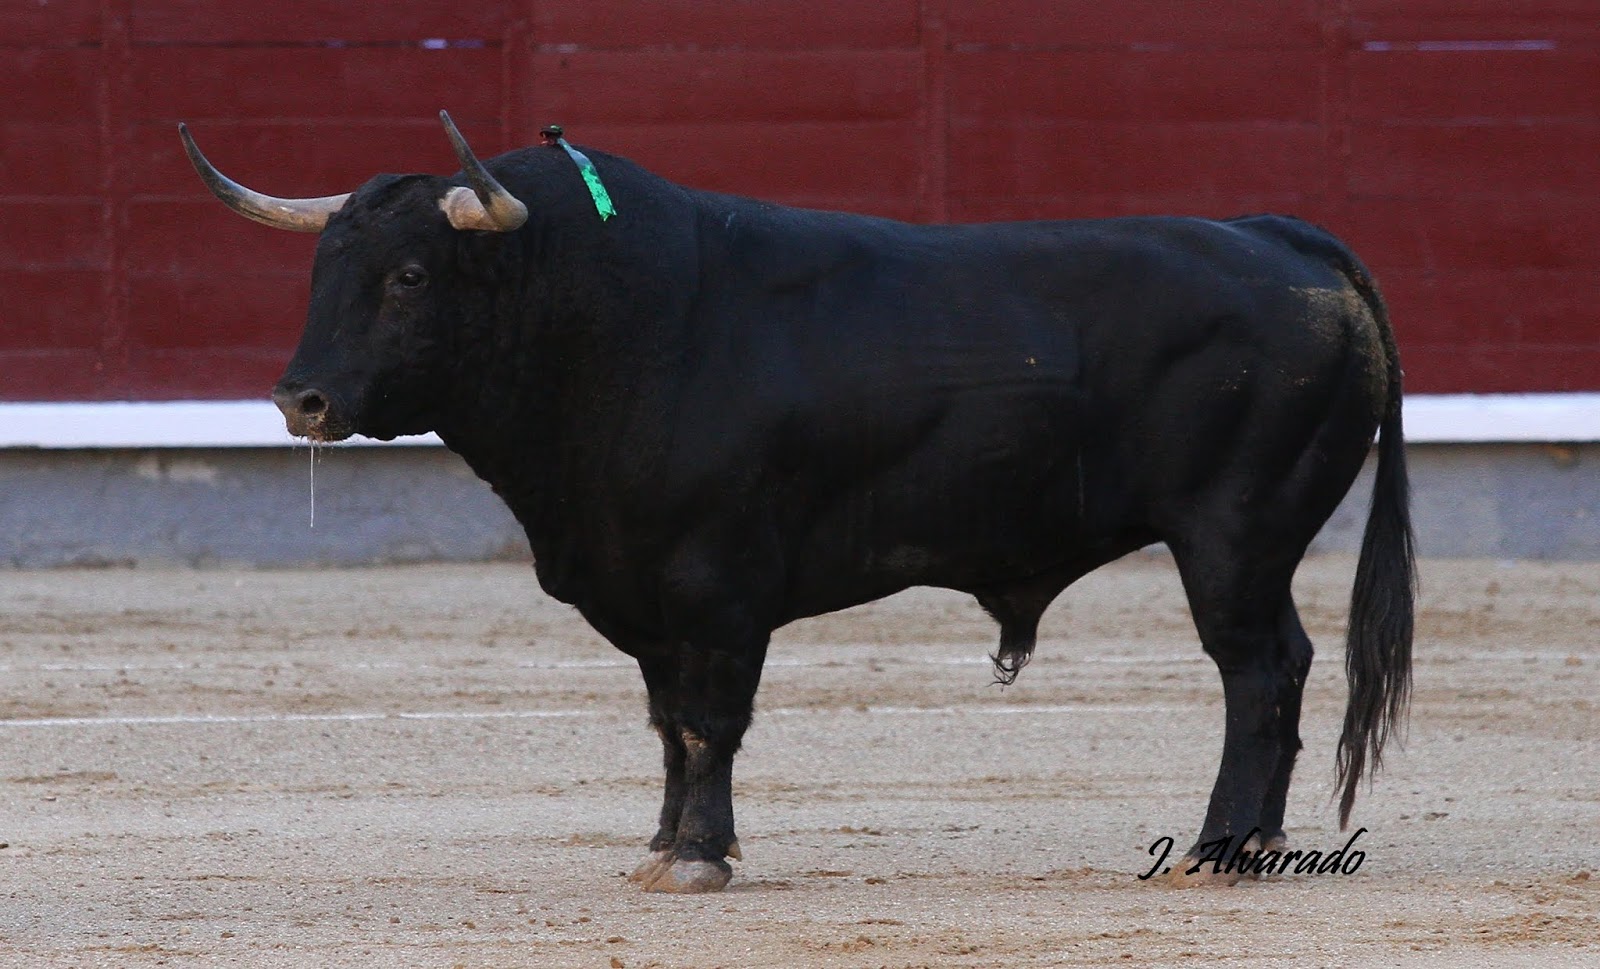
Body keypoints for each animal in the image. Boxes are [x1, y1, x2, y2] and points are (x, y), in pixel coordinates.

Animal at [180, 112, 1414, 893]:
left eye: (409, 277)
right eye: (321, 273)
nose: (301, 399)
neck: (610, 323)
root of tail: (1280, 236)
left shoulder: (718, 585)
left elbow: (710, 721)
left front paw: (698, 857)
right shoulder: (642, 592)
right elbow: (666, 726)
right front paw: (662, 844)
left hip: (1233, 535)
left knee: (1257, 673)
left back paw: (1219, 847)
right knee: (1281, 671)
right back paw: (1256, 841)